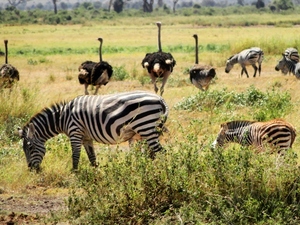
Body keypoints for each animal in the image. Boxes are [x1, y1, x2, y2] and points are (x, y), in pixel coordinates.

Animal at [18, 90, 169, 170]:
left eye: (30, 148)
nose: (31, 169)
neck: (62, 117)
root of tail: (160, 99)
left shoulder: (75, 132)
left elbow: (75, 155)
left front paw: (74, 172)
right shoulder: (86, 137)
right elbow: (92, 157)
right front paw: (96, 175)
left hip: (146, 127)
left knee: (162, 152)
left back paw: (164, 173)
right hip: (145, 131)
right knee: (152, 154)